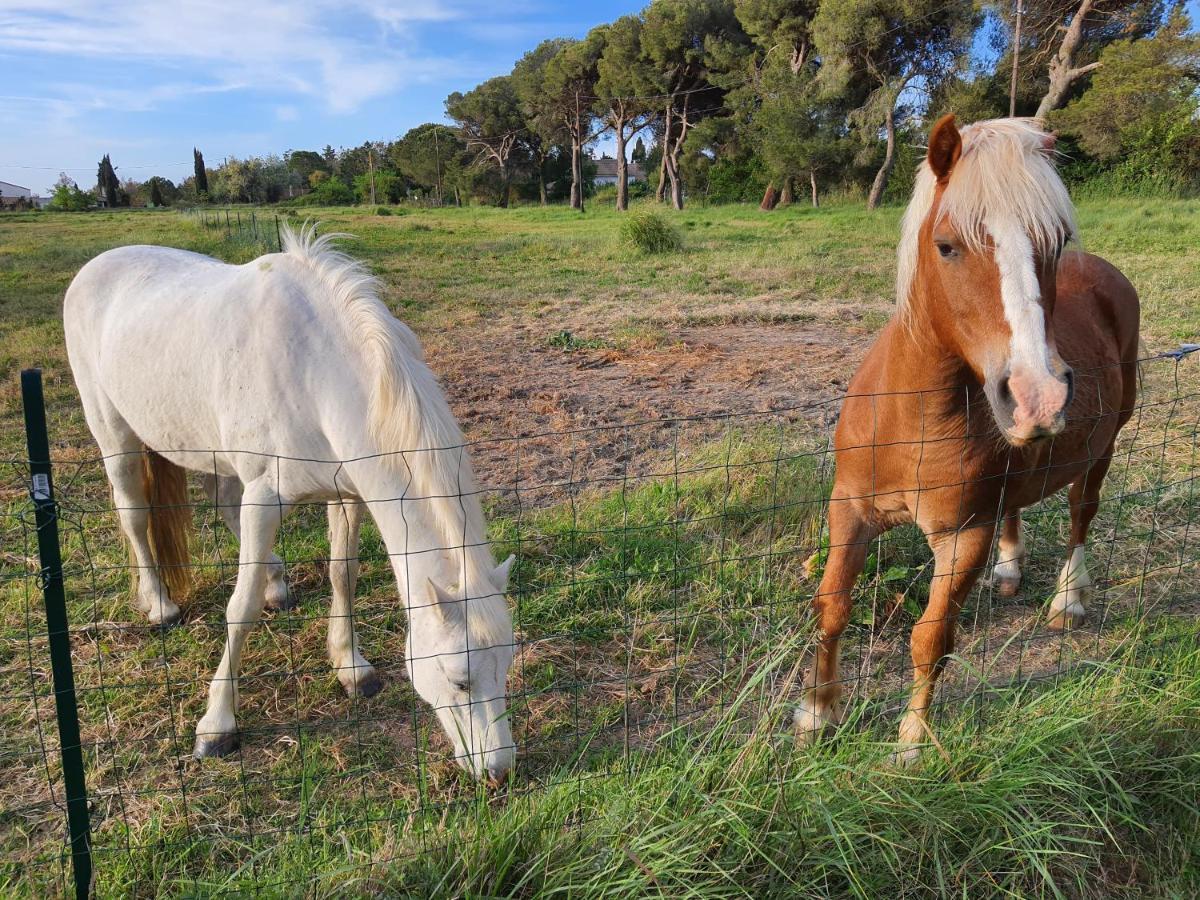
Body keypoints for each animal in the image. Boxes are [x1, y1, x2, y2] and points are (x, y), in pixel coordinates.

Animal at [65, 225, 516, 782]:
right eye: (458, 680)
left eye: (507, 666)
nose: (499, 769)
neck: (314, 368)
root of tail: (98, 264)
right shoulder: (265, 497)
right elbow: (239, 609)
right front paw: (216, 725)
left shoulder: (347, 494)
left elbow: (342, 574)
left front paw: (351, 668)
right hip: (116, 437)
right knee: (133, 514)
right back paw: (161, 605)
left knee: (221, 501)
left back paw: (276, 582)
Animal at [801, 116, 1137, 763]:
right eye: (947, 246)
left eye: (1056, 240)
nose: (1038, 396)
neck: (911, 419)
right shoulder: (849, 507)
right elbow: (831, 607)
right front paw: (817, 714)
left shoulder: (962, 537)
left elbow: (931, 637)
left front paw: (911, 743)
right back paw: (1009, 571)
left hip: (1104, 446)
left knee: (1082, 512)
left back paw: (1069, 601)